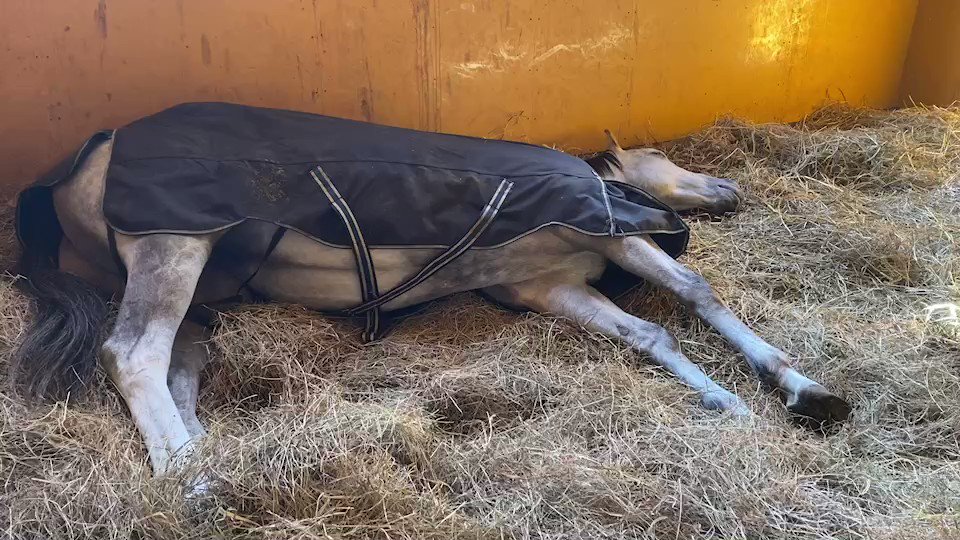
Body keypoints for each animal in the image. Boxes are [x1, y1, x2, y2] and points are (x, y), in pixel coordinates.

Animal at [7, 103, 848, 474]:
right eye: (657, 154)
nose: (729, 190)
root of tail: (88, 155)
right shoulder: (613, 230)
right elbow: (696, 292)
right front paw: (804, 391)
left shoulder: (546, 285)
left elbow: (649, 332)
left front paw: (725, 401)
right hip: (171, 247)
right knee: (133, 356)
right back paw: (193, 486)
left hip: (193, 283)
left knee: (176, 365)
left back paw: (202, 457)